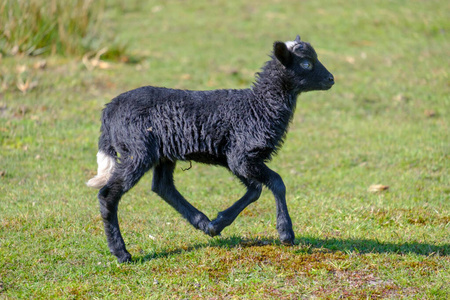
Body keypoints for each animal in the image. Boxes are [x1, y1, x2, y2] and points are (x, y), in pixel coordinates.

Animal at [88, 35, 334, 262]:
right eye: (306, 63)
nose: (331, 79)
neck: (259, 106)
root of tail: (109, 110)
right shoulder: (241, 156)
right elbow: (277, 182)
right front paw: (286, 233)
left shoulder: (235, 158)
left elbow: (254, 190)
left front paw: (218, 223)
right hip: (136, 151)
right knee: (108, 195)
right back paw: (121, 253)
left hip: (163, 153)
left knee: (163, 186)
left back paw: (203, 223)